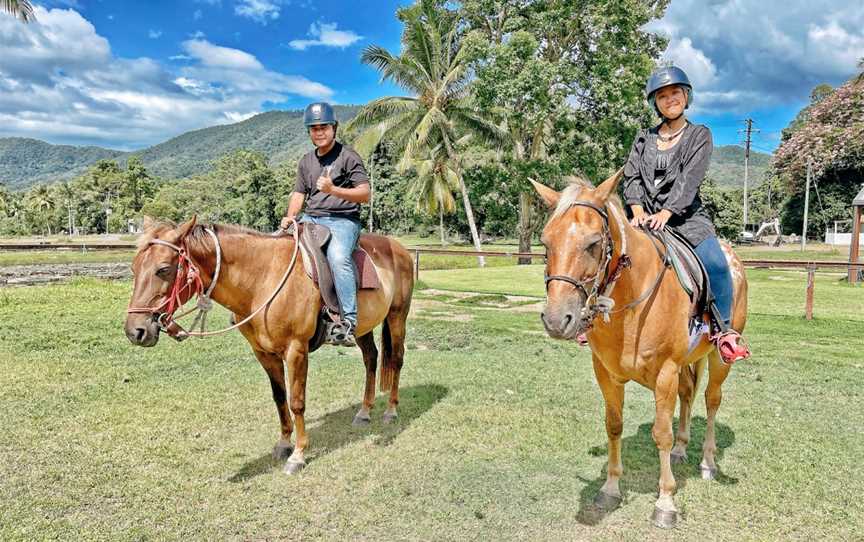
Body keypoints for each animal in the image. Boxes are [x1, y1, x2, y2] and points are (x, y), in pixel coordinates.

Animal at [124, 217, 416, 476]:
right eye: (134, 268)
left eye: (163, 269)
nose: (135, 331)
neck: (262, 280)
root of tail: (398, 248)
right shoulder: (264, 353)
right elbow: (279, 397)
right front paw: (284, 444)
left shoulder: (296, 350)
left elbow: (297, 402)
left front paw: (298, 455)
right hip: (363, 327)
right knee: (371, 359)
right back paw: (364, 412)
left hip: (397, 316)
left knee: (396, 360)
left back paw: (391, 411)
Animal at [528, 172, 744, 528]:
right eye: (546, 243)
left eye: (593, 243)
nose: (557, 320)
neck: (631, 301)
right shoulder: (606, 373)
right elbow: (614, 426)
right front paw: (610, 488)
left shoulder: (666, 372)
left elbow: (661, 433)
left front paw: (666, 502)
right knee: (688, 394)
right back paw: (682, 450)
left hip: (719, 358)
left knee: (712, 401)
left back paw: (708, 463)